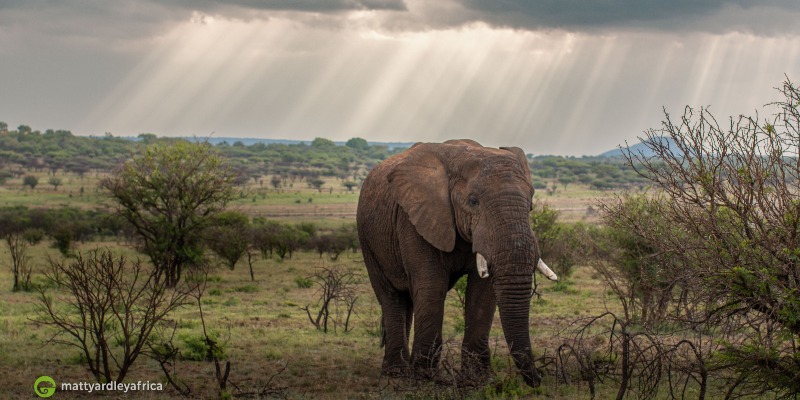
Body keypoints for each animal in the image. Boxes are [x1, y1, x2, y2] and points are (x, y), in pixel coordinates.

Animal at [356, 139, 557, 388]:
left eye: (530, 204)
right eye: (473, 201)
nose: (539, 377)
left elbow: (482, 292)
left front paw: (478, 380)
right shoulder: (414, 219)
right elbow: (431, 286)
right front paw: (424, 379)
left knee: (406, 301)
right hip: (367, 239)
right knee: (391, 297)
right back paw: (396, 373)